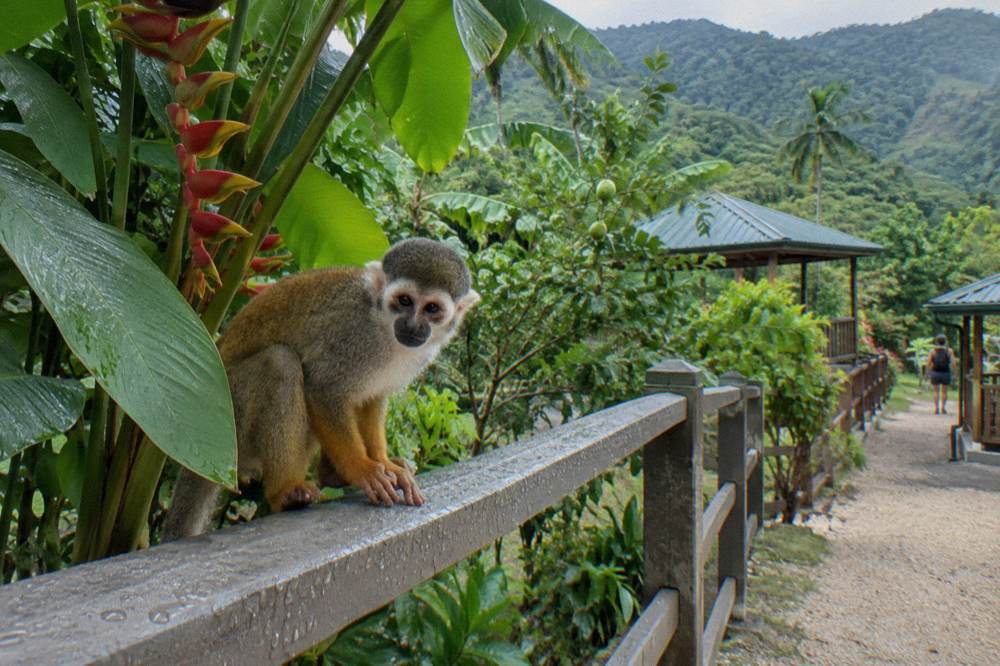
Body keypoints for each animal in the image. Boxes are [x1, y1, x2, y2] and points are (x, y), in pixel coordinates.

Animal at [163, 238, 479, 540]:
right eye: (404, 300)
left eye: (432, 309)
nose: (413, 326)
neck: (383, 328)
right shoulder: (349, 335)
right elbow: (323, 390)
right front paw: (363, 469)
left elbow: (372, 399)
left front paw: (383, 462)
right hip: (231, 420)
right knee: (281, 363)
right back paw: (285, 492)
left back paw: (330, 477)